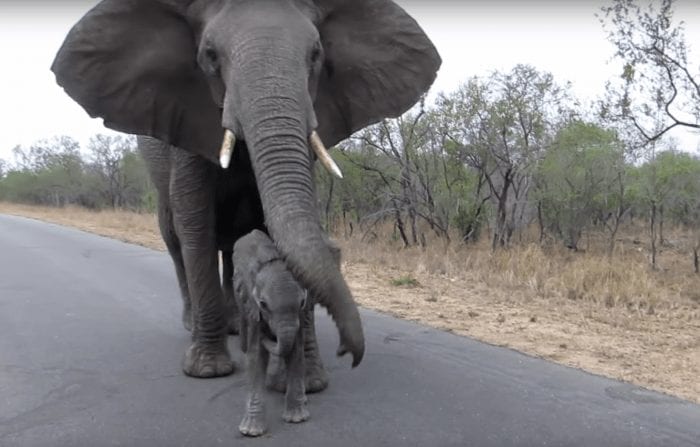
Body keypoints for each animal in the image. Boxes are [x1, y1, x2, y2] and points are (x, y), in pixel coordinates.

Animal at [51, 0, 441, 386]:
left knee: (231, 245)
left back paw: (237, 326)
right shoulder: (186, 121)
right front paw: (208, 370)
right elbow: (195, 223)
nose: (349, 352)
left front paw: (304, 378)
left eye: (316, 53)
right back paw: (197, 325)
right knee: (175, 238)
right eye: (209, 55)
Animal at [234, 229, 309, 437]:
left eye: (302, 302)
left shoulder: (298, 315)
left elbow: (296, 351)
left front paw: (296, 419)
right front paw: (251, 432)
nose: (269, 335)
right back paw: (243, 347)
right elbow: (256, 357)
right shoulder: (253, 306)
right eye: (263, 304)